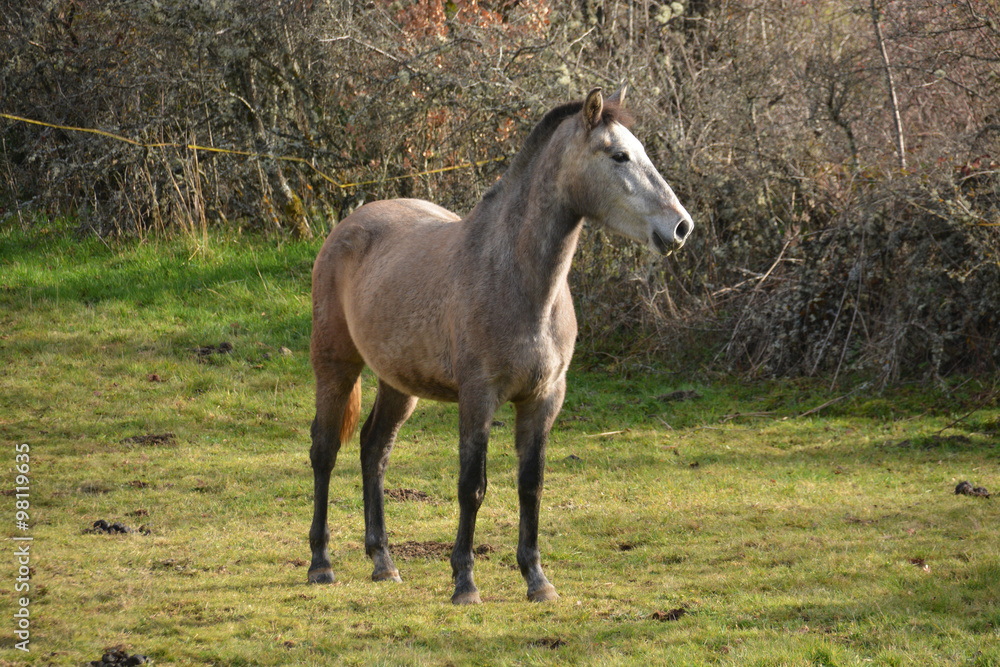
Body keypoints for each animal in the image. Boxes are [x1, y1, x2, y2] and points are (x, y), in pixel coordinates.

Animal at [308, 88, 692, 604]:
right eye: (619, 156)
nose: (680, 227)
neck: (521, 283)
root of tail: (348, 225)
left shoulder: (544, 398)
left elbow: (531, 486)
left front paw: (537, 580)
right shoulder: (479, 396)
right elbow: (472, 486)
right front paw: (465, 583)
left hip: (398, 383)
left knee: (375, 449)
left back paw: (383, 562)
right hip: (335, 365)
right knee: (325, 450)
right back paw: (321, 563)